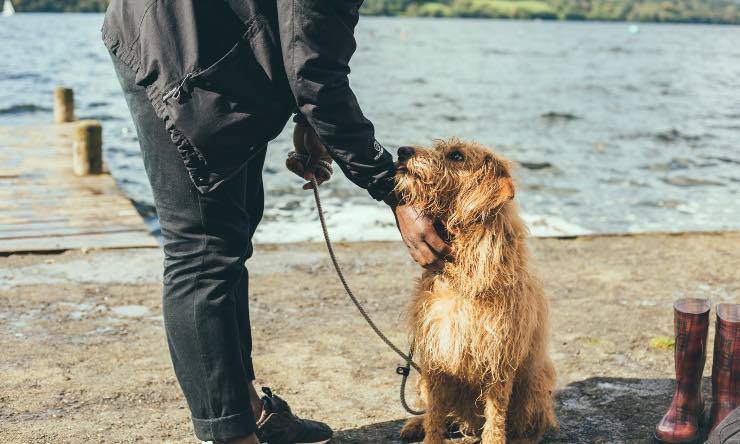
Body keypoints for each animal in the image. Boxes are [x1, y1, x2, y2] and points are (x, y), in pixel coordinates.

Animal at [394, 140, 556, 444]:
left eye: (456, 155)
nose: (401, 151)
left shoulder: (498, 358)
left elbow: (495, 417)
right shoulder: (436, 354)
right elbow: (435, 415)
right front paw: (429, 435)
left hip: (535, 382)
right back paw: (415, 424)